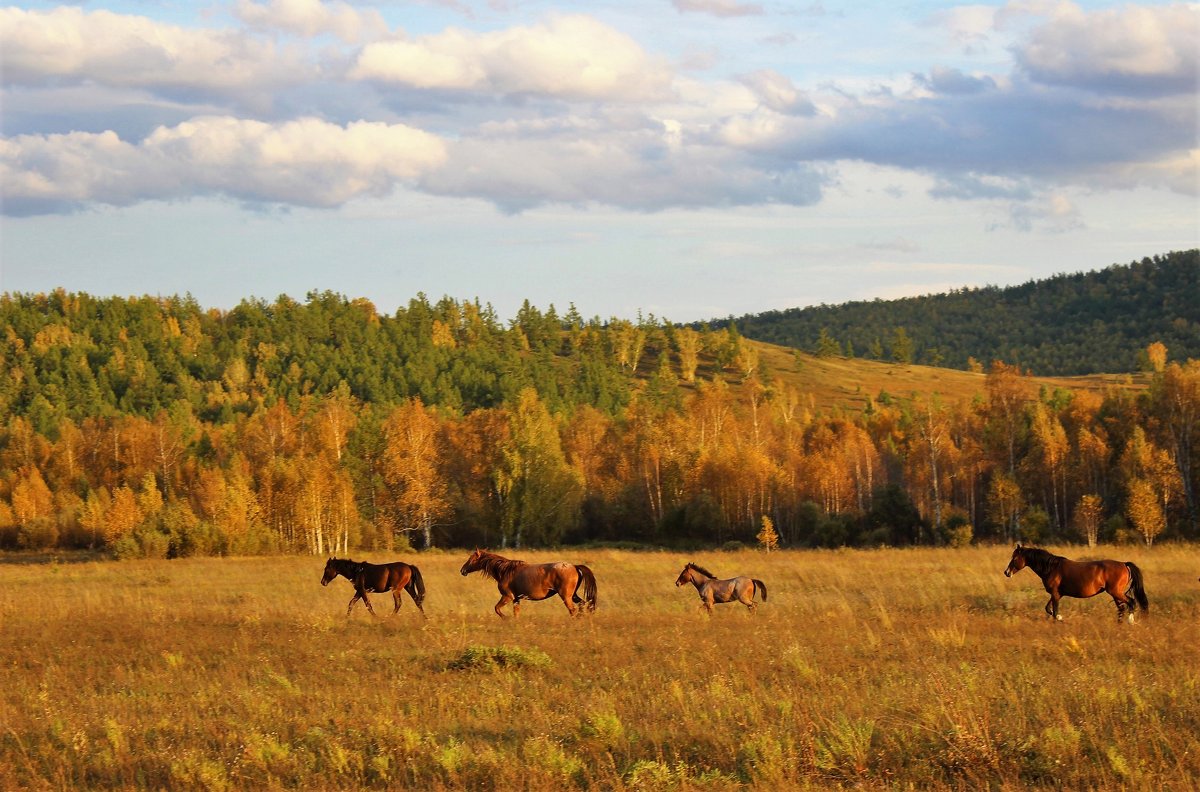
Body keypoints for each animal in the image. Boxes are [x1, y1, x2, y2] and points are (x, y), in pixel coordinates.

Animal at [458, 549, 595, 619]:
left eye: (472, 559)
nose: (462, 570)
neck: (505, 571)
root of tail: (574, 566)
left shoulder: (507, 596)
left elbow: (497, 608)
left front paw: (505, 618)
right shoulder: (516, 599)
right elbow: (516, 614)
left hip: (566, 596)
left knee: (573, 610)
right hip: (573, 595)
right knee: (582, 604)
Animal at [998, 544, 1147, 624]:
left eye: (1015, 558)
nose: (1006, 572)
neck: (1052, 568)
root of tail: (1124, 564)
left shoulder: (1055, 594)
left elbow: (1054, 612)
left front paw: (1060, 619)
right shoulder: (1056, 594)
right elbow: (1048, 609)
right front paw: (1060, 618)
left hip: (1116, 592)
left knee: (1131, 602)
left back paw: (1130, 621)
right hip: (1116, 594)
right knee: (1122, 608)